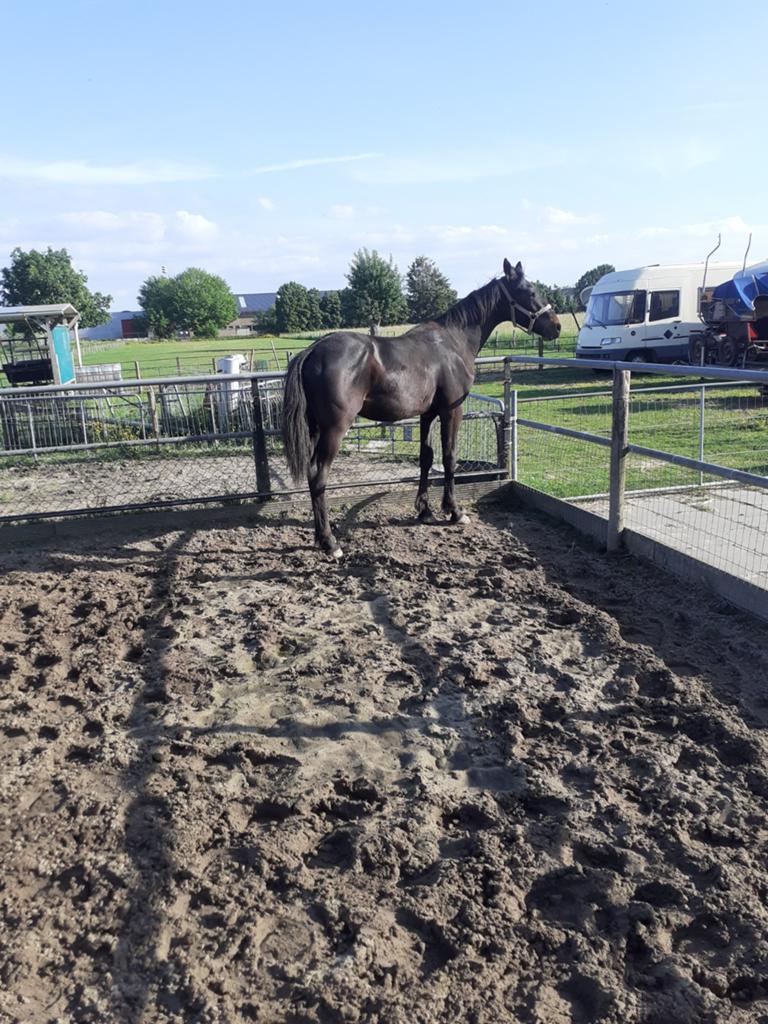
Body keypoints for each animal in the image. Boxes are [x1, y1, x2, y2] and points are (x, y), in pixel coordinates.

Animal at [282, 259, 561, 557]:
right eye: (530, 291)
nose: (556, 326)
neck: (453, 342)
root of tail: (312, 351)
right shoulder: (452, 410)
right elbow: (449, 457)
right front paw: (454, 511)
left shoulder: (428, 414)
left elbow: (426, 457)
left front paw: (425, 511)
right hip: (334, 429)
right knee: (318, 476)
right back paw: (329, 542)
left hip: (315, 428)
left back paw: (319, 537)